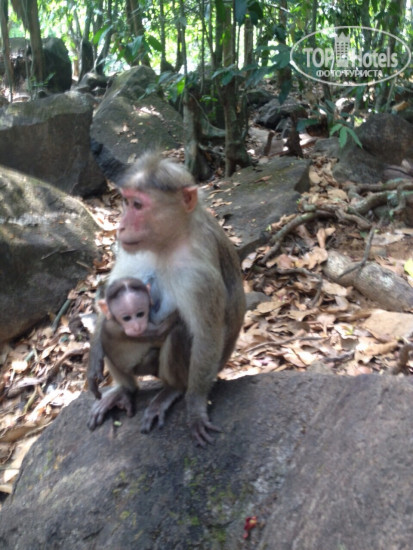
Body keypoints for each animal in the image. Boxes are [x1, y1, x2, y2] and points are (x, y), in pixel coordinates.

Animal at [87, 152, 246, 446]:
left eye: (138, 205)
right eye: (126, 202)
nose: (121, 226)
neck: (168, 242)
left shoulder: (198, 276)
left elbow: (206, 336)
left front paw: (195, 407)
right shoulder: (128, 249)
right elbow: (110, 297)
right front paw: (93, 356)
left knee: (179, 333)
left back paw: (172, 390)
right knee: (111, 332)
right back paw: (125, 390)